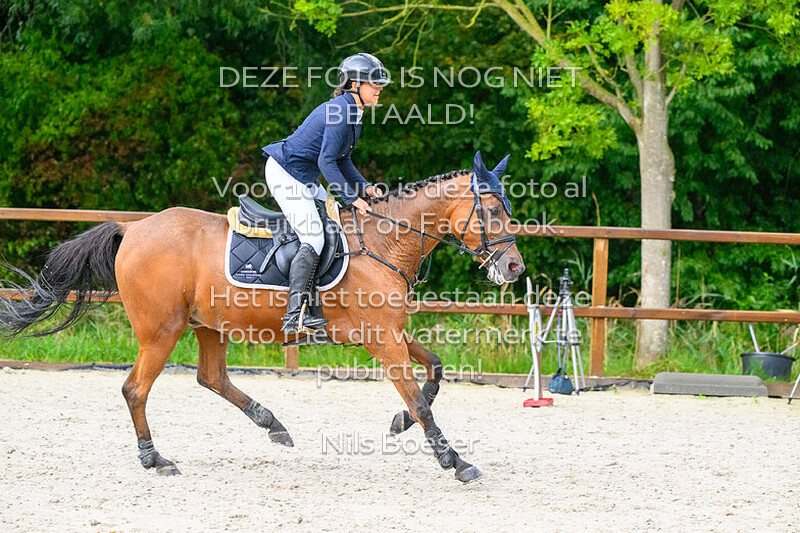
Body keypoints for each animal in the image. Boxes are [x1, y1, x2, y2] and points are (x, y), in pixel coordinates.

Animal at [0, 151, 525, 483]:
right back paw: (156, 460)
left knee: (211, 377)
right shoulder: (382, 339)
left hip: (208, 325)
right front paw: (456, 462)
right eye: (491, 212)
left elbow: (434, 370)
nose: (515, 268)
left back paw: (272, 424)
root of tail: (132, 230)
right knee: (136, 390)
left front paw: (399, 423)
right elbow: (421, 400)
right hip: (162, 331)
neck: (385, 241)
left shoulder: (390, 333)